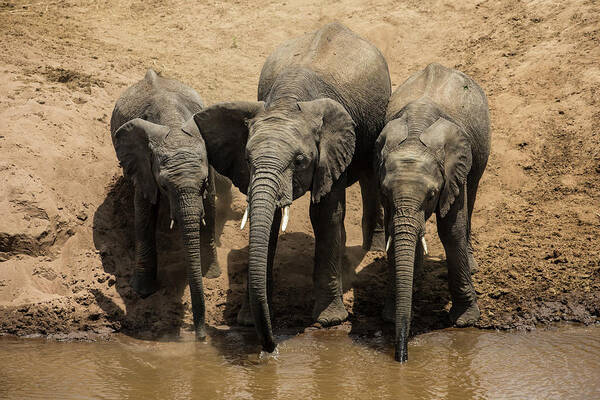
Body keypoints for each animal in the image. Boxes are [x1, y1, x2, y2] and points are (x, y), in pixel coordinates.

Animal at [109, 69, 227, 340]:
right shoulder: (143, 165)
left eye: (203, 183)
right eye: (164, 186)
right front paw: (142, 291)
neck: (172, 123)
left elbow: (210, 207)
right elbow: (143, 213)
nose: (200, 337)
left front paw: (211, 274)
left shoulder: (208, 162)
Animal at [190, 21, 392, 354]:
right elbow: (269, 222)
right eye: (247, 158)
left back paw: (372, 248)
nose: (270, 347)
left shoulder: (332, 150)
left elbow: (325, 214)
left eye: (299, 161)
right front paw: (248, 321)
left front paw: (328, 321)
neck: (288, 101)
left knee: (368, 174)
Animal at [376, 63, 492, 362]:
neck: (415, 137)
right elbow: (394, 229)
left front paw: (465, 321)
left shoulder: (453, 168)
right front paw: (390, 315)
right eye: (386, 192)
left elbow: (451, 230)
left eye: (431, 195)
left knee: (473, 191)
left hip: (481, 148)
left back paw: (471, 264)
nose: (402, 358)